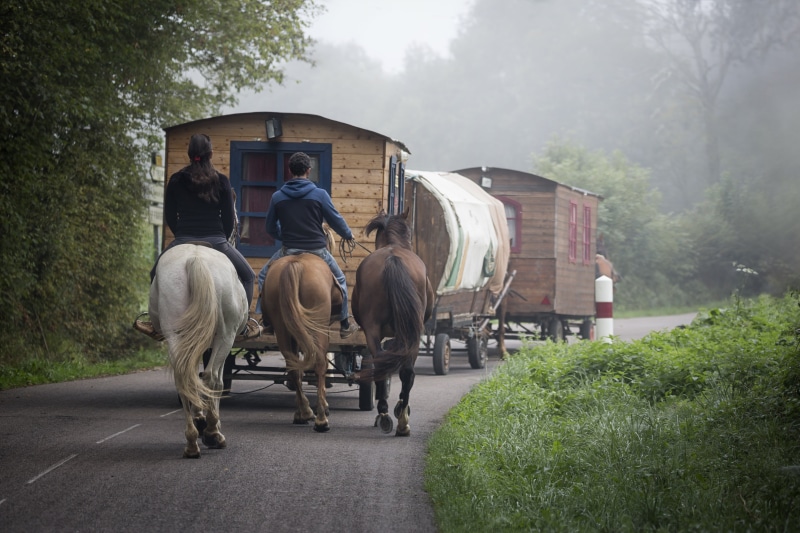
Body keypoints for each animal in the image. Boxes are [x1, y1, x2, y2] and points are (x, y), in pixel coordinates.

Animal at [149, 243, 250, 458]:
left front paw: (200, 419)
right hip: (225, 337)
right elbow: (216, 382)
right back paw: (212, 434)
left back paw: (192, 441)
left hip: (176, 335)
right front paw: (210, 426)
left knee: (184, 379)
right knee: (212, 379)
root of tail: (195, 259)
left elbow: (195, 379)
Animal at [262, 252, 344, 432]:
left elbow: (298, 370)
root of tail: (295, 264)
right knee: (320, 363)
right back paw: (321, 419)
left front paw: (300, 412)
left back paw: (305, 412)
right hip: (317, 326)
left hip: (282, 328)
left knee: (293, 366)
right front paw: (324, 406)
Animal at [352, 209, 434, 437]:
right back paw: (401, 418)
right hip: (411, 333)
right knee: (405, 371)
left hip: (374, 330)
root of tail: (392, 259)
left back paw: (386, 414)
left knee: (383, 364)